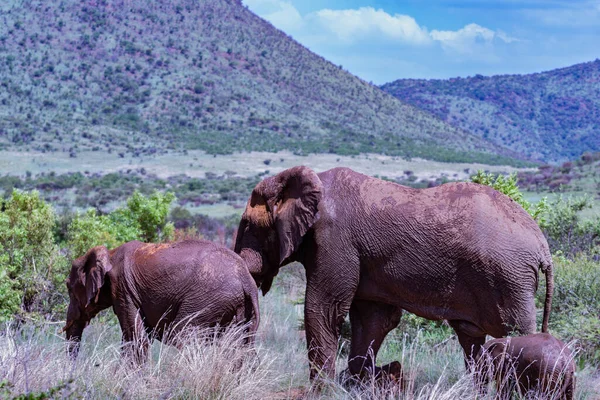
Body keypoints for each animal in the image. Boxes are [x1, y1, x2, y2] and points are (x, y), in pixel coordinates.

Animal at [64, 239, 258, 360]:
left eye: (68, 287)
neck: (109, 254)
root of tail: (247, 280)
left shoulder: (124, 289)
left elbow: (135, 339)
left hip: (208, 299)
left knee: (184, 337)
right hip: (239, 306)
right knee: (241, 347)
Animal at [234, 166, 552, 382]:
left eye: (248, 224)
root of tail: (542, 244)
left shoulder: (335, 240)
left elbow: (323, 309)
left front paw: (324, 391)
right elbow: (373, 320)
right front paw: (356, 386)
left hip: (510, 277)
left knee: (517, 333)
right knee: (471, 337)